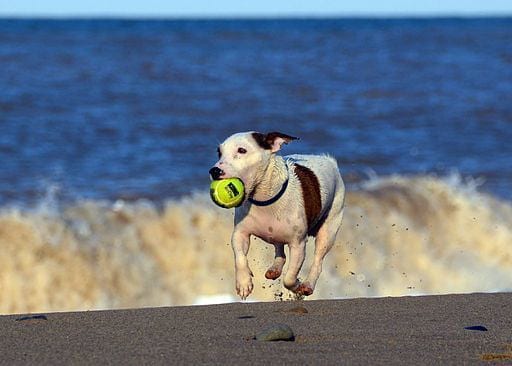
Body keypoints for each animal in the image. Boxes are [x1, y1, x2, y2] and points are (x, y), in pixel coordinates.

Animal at [210, 133, 346, 298]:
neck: (264, 198)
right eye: (219, 152)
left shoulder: (298, 244)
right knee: (279, 247)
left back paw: (308, 285)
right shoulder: (240, 233)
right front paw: (244, 282)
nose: (214, 171)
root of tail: (329, 161)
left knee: (318, 259)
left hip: (329, 229)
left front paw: (296, 286)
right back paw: (275, 268)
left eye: (242, 150)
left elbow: (289, 277)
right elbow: (240, 257)